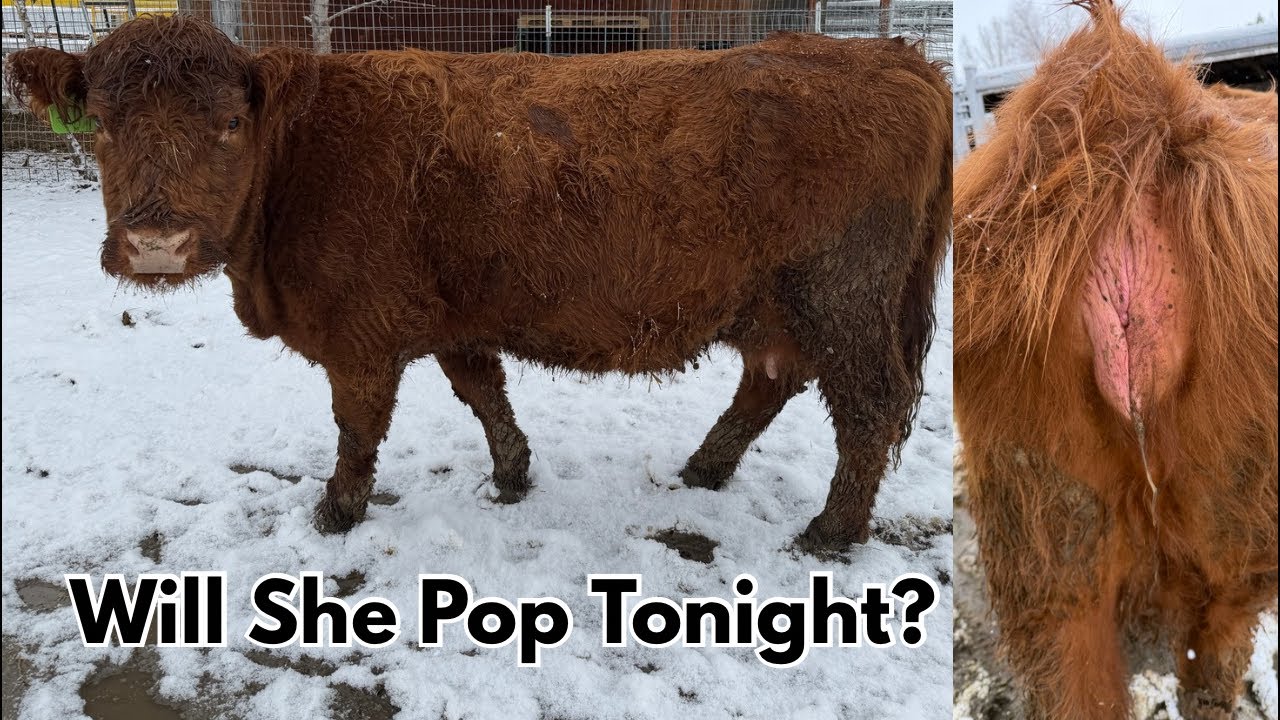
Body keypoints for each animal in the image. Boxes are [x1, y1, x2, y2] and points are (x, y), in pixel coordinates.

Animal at [7, 15, 951, 551]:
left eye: (231, 122)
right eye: (99, 121)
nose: (156, 243)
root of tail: (895, 57)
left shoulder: (359, 335)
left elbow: (358, 426)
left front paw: (337, 510)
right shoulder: (452, 316)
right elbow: (483, 390)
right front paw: (512, 474)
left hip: (841, 297)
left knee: (866, 403)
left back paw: (830, 531)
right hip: (776, 305)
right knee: (771, 381)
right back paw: (705, 469)